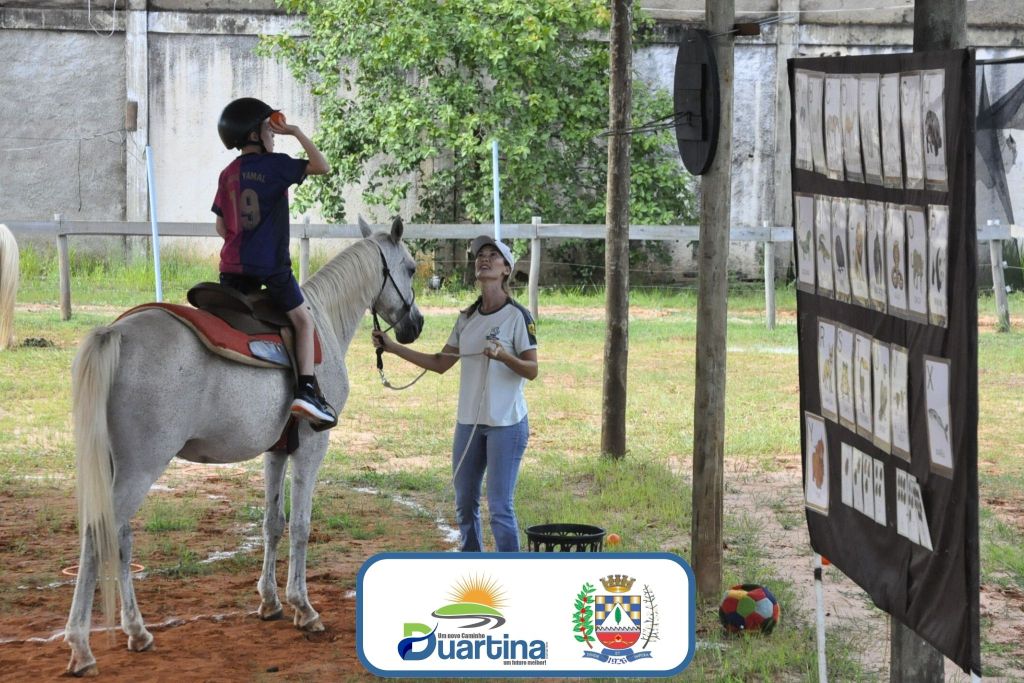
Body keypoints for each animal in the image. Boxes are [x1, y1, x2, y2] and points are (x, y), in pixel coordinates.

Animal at [64, 217, 423, 676]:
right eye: (410, 268)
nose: (416, 324)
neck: (321, 322)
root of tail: (117, 333)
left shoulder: (276, 451)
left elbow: (273, 523)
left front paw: (270, 602)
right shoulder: (312, 447)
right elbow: (301, 526)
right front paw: (303, 607)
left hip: (119, 469)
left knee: (121, 540)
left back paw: (138, 632)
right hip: (139, 470)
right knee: (99, 536)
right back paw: (81, 646)